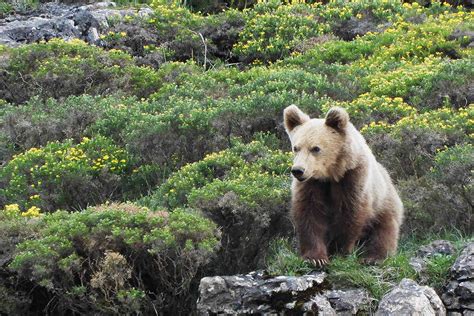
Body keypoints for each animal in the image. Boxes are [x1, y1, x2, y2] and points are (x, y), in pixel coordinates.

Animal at [284, 105, 406, 266]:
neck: (331, 175)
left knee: (384, 231)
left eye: (315, 148)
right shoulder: (312, 185)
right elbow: (309, 214)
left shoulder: (352, 179)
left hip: (384, 204)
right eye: (296, 148)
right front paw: (316, 258)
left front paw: (340, 251)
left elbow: (350, 214)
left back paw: (373, 257)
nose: (298, 170)